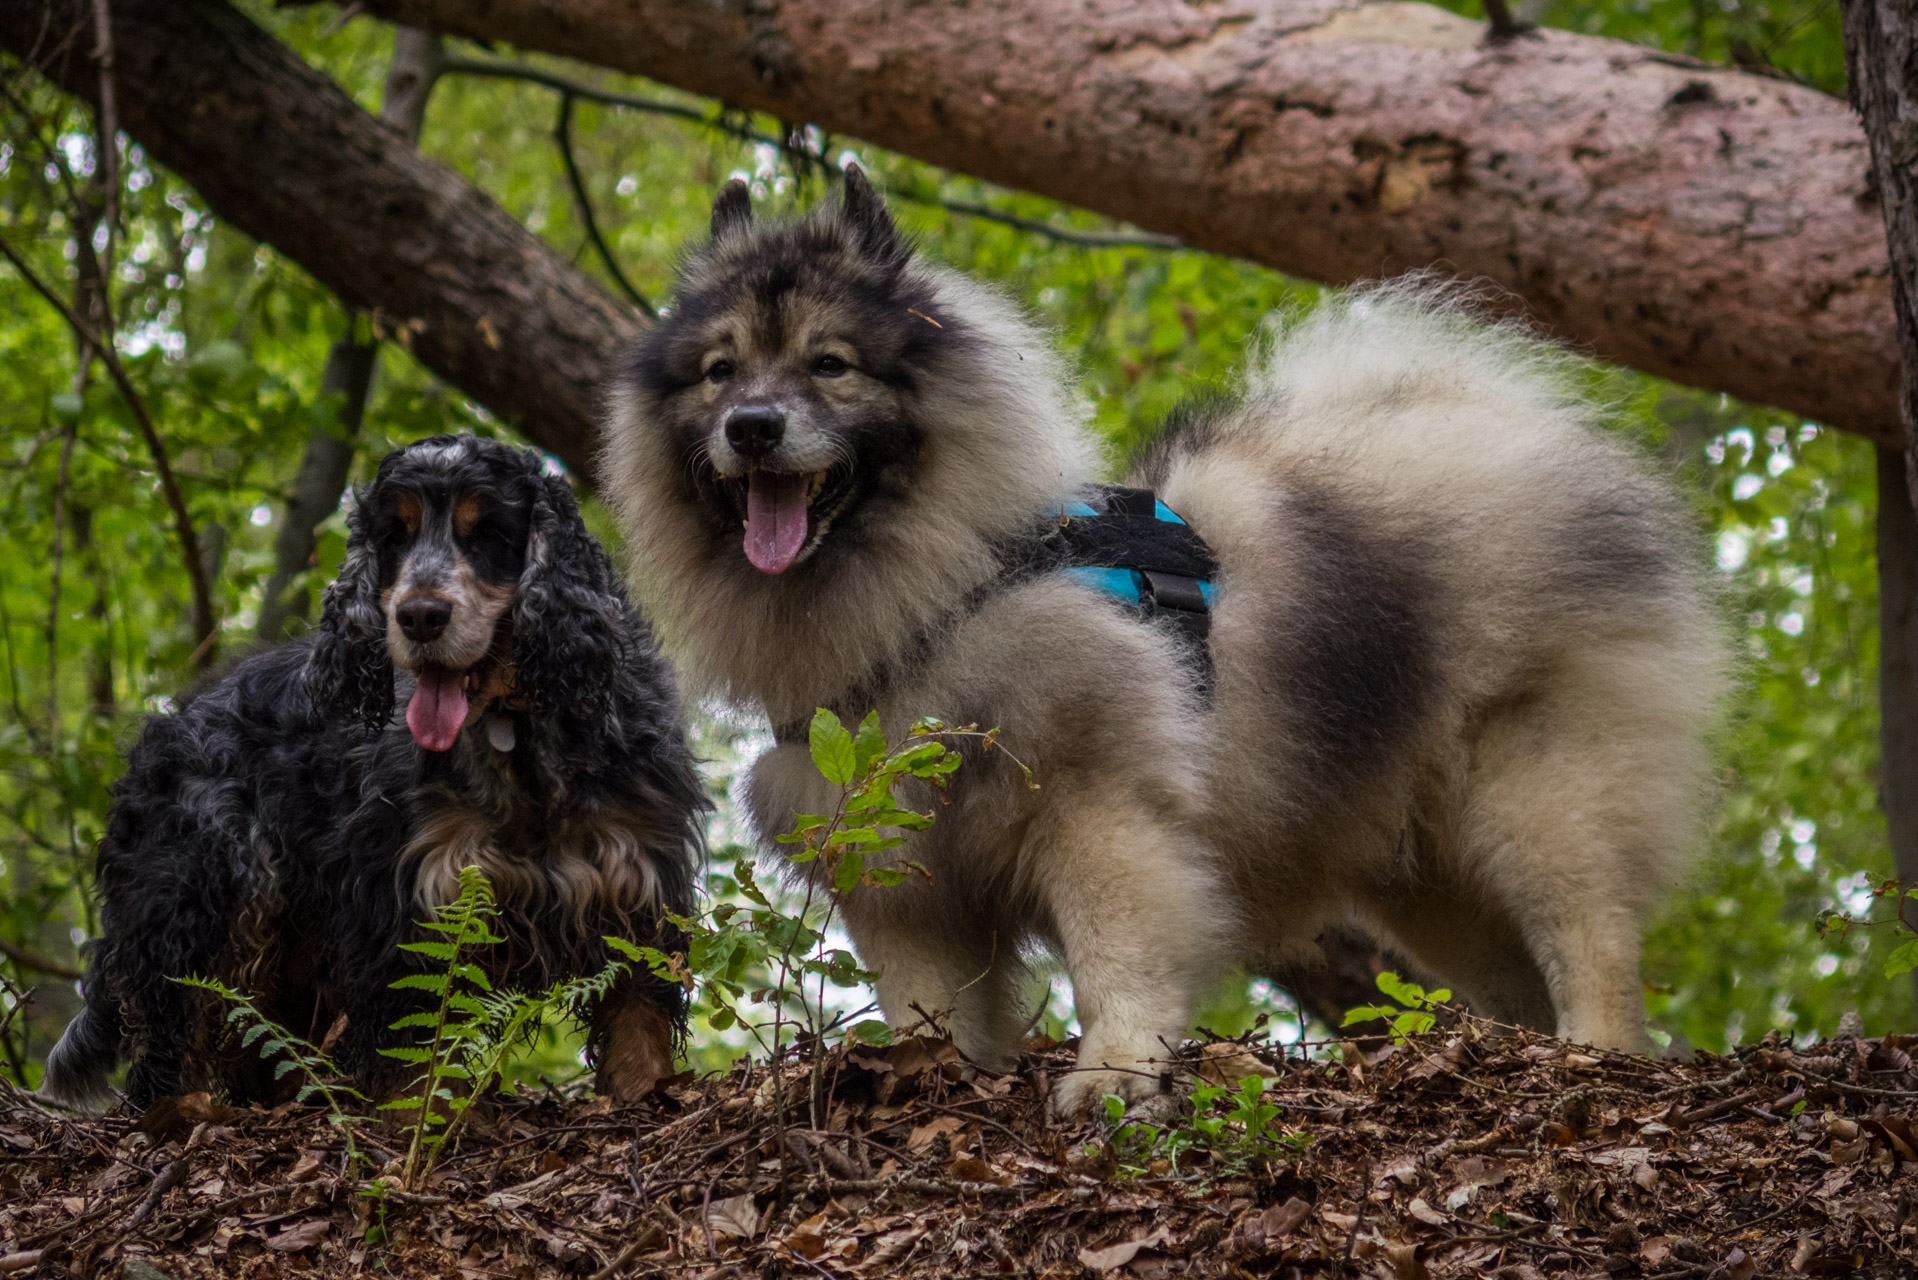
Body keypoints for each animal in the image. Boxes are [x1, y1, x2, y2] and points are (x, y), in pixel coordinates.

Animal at [43, 433, 705, 1113]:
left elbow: (637, 1014)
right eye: (395, 536)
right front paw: (418, 1119)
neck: (515, 731)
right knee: (170, 1041)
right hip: (202, 888)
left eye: (488, 532)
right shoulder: (412, 899)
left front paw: (648, 1093)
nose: (420, 616)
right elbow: (411, 1036)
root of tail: (170, 728)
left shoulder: (635, 881)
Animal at [606, 172, 1733, 1120]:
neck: (940, 594)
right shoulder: (906, 880)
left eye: (828, 364)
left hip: (1532, 795)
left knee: (1589, 930)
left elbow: (1119, 958)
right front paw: (939, 1079)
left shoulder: (1094, 808)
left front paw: (1113, 1074)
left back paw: (1595, 1053)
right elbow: (935, 1006)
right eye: (719, 373)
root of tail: (1501, 427)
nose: (753, 425)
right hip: (1428, 875)